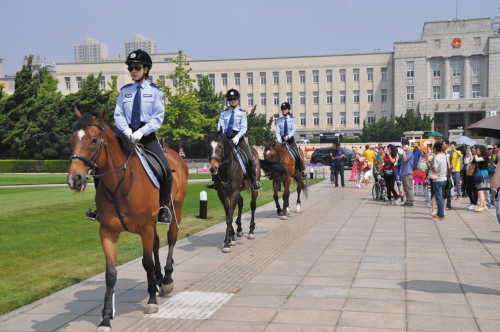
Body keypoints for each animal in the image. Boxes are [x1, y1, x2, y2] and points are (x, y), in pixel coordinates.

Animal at [67, 107, 188, 332]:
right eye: (71, 139)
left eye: (94, 140)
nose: (74, 179)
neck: (119, 184)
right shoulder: (108, 231)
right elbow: (111, 273)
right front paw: (106, 318)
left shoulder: (145, 227)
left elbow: (147, 262)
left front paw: (151, 301)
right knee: (157, 243)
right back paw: (157, 281)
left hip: (176, 208)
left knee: (171, 238)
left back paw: (166, 279)